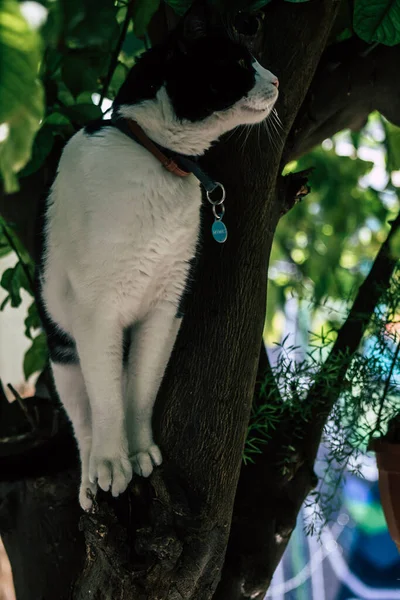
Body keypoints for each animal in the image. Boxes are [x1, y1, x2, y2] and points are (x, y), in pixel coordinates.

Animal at [37, 5, 278, 510]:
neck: (157, 158)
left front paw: (140, 450)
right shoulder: (96, 313)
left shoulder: (168, 304)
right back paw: (91, 477)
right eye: (240, 64)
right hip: (63, 350)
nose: (278, 80)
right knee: (84, 423)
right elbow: (108, 400)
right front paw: (114, 463)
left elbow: (141, 389)